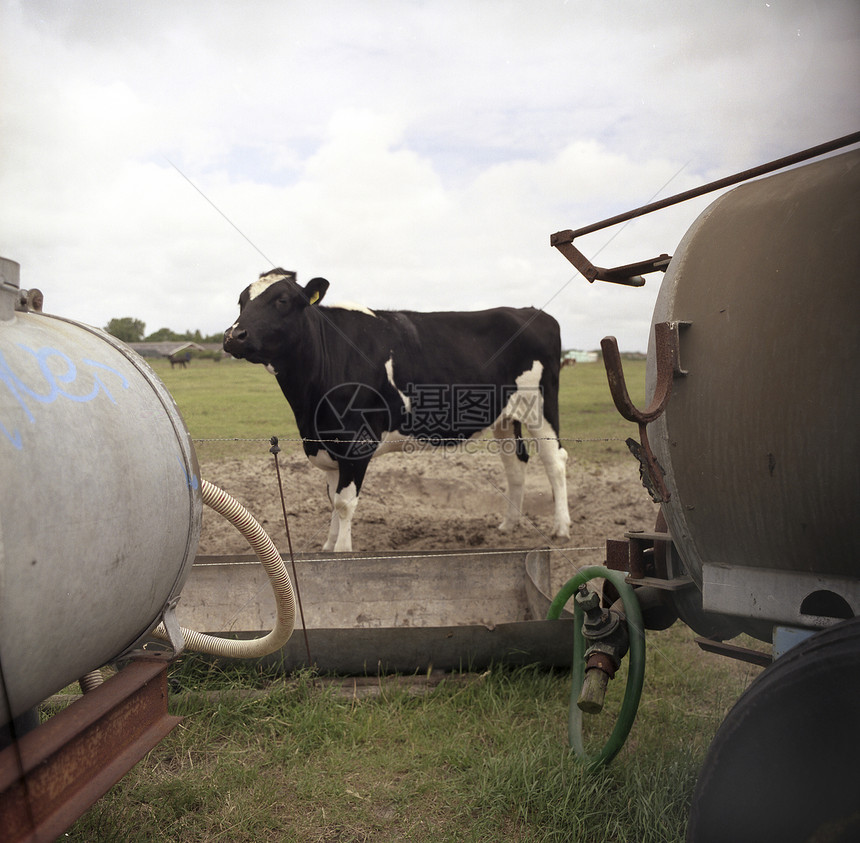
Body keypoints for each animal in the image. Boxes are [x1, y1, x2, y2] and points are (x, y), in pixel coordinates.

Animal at [222, 270, 572, 552]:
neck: (309, 409)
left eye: (281, 300)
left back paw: (561, 529)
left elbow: (344, 504)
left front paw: (342, 552)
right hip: (506, 416)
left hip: (541, 406)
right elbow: (332, 500)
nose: (233, 336)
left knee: (554, 461)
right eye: (241, 301)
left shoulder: (357, 444)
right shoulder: (329, 444)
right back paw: (509, 525)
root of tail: (530, 311)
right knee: (515, 464)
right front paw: (328, 548)